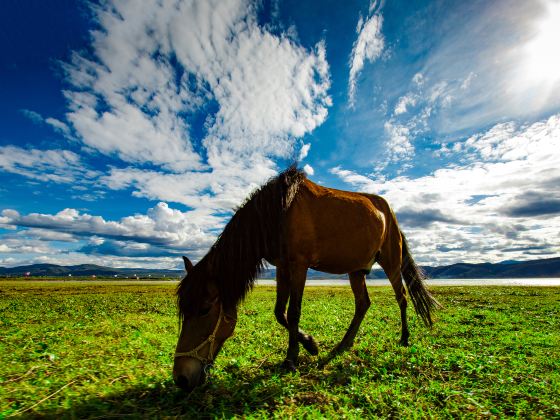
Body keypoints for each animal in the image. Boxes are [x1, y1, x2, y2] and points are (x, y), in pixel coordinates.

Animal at [173, 166, 440, 392]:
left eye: (205, 309)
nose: (181, 378)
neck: (278, 214)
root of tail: (389, 213)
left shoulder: (299, 266)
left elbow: (293, 312)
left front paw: (292, 359)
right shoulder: (283, 267)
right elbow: (279, 312)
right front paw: (311, 344)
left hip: (391, 263)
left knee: (401, 298)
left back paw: (404, 338)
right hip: (356, 270)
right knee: (363, 304)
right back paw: (343, 345)